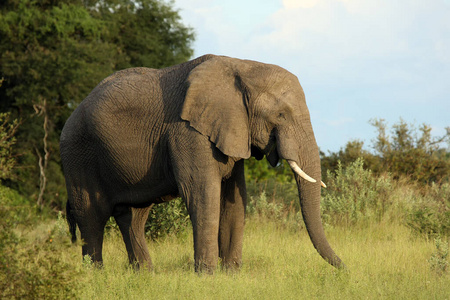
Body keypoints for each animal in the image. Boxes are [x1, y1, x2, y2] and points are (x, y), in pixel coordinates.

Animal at [60, 54, 344, 272]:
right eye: (281, 115)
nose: (345, 268)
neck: (242, 66)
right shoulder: (187, 132)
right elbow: (202, 193)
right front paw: (208, 275)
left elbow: (234, 197)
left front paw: (231, 274)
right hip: (77, 154)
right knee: (91, 216)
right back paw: (96, 275)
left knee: (133, 217)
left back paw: (144, 274)